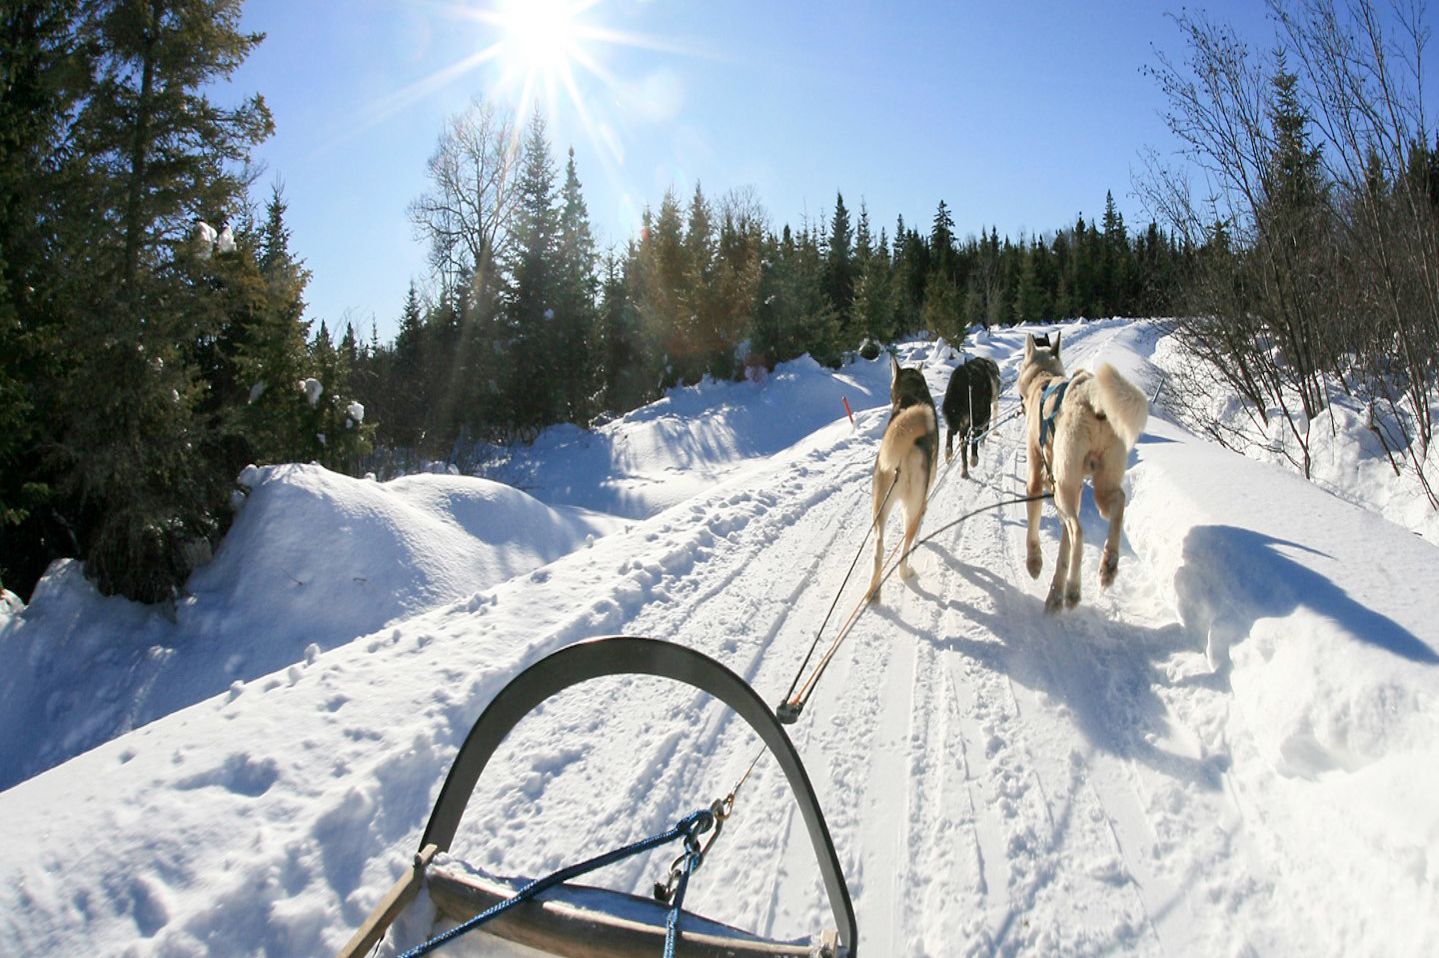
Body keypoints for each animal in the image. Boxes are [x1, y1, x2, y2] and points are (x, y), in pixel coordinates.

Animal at [869, 353, 938, 601]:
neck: (911, 394)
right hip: (912, 508)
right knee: (904, 550)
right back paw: (906, 572)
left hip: (879, 509)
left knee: (879, 547)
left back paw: (873, 593)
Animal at [1018, 327, 1151, 612]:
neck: (1044, 379)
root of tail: (1091, 395)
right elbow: (1063, 551)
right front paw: (1054, 593)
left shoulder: (1036, 478)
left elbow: (1034, 529)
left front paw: (1035, 564)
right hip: (1099, 486)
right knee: (1117, 503)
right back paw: (1108, 566)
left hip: (1064, 489)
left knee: (1079, 531)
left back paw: (1073, 591)